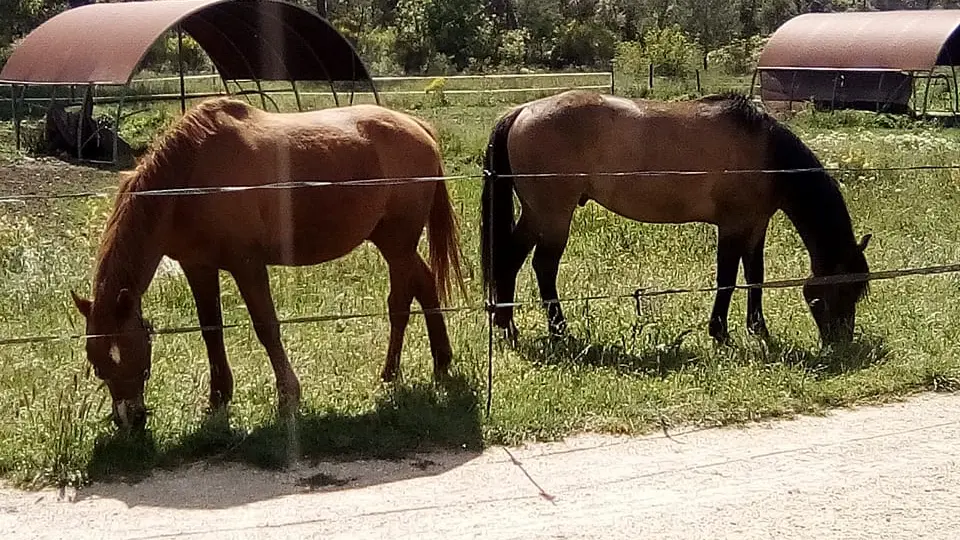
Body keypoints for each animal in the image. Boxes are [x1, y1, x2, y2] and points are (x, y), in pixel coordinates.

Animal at [68, 97, 464, 430]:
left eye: (130, 353)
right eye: (98, 364)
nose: (129, 420)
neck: (191, 177)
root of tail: (418, 127)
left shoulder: (248, 265)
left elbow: (266, 328)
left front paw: (288, 396)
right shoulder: (198, 267)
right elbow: (211, 330)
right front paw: (218, 398)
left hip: (397, 244)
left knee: (400, 303)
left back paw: (391, 373)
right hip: (392, 242)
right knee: (425, 284)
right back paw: (441, 362)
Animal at [480, 90, 872, 346]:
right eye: (844, 289)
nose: (840, 342)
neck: (767, 154)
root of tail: (522, 110)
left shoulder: (755, 226)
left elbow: (755, 277)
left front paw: (757, 328)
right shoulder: (732, 227)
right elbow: (727, 279)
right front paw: (719, 332)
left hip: (536, 214)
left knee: (511, 260)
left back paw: (507, 326)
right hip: (553, 216)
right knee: (543, 267)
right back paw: (558, 330)